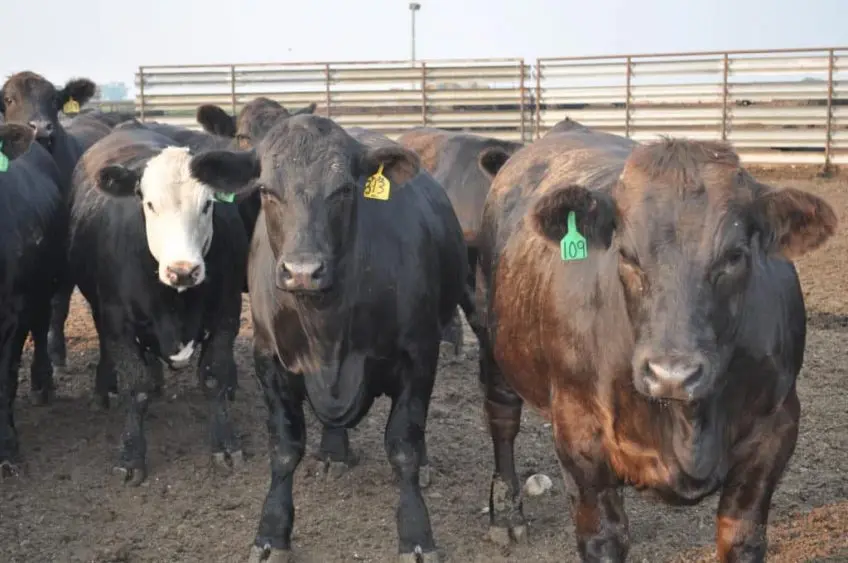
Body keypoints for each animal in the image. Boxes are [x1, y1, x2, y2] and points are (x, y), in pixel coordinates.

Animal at [66, 126, 249, 484]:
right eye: (149, 204)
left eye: (207, 205)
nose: (183, 270)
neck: (175, 300)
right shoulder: (117, 323)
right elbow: (135, 387)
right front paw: (131, 455)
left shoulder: (227, 314)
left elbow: (214, 378)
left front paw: (225, 444)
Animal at [189, 113, 468, 563]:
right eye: (266, 190)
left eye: (343, 191)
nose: (303, 271)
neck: (328, 328)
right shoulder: (268, 359)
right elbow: (285, 447)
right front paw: (271, 533)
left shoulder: (419, 356)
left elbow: (404, 446)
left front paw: (416, 534)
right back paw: (333, 450)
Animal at [474, 120, 837, 562]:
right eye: (626, 255)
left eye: (735, 255)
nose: (672, 375)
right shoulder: (579, 436)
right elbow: (603, 538)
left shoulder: (776, 427)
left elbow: (741, 537)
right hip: (492, 338)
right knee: (502, 417)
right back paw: (507, 514)